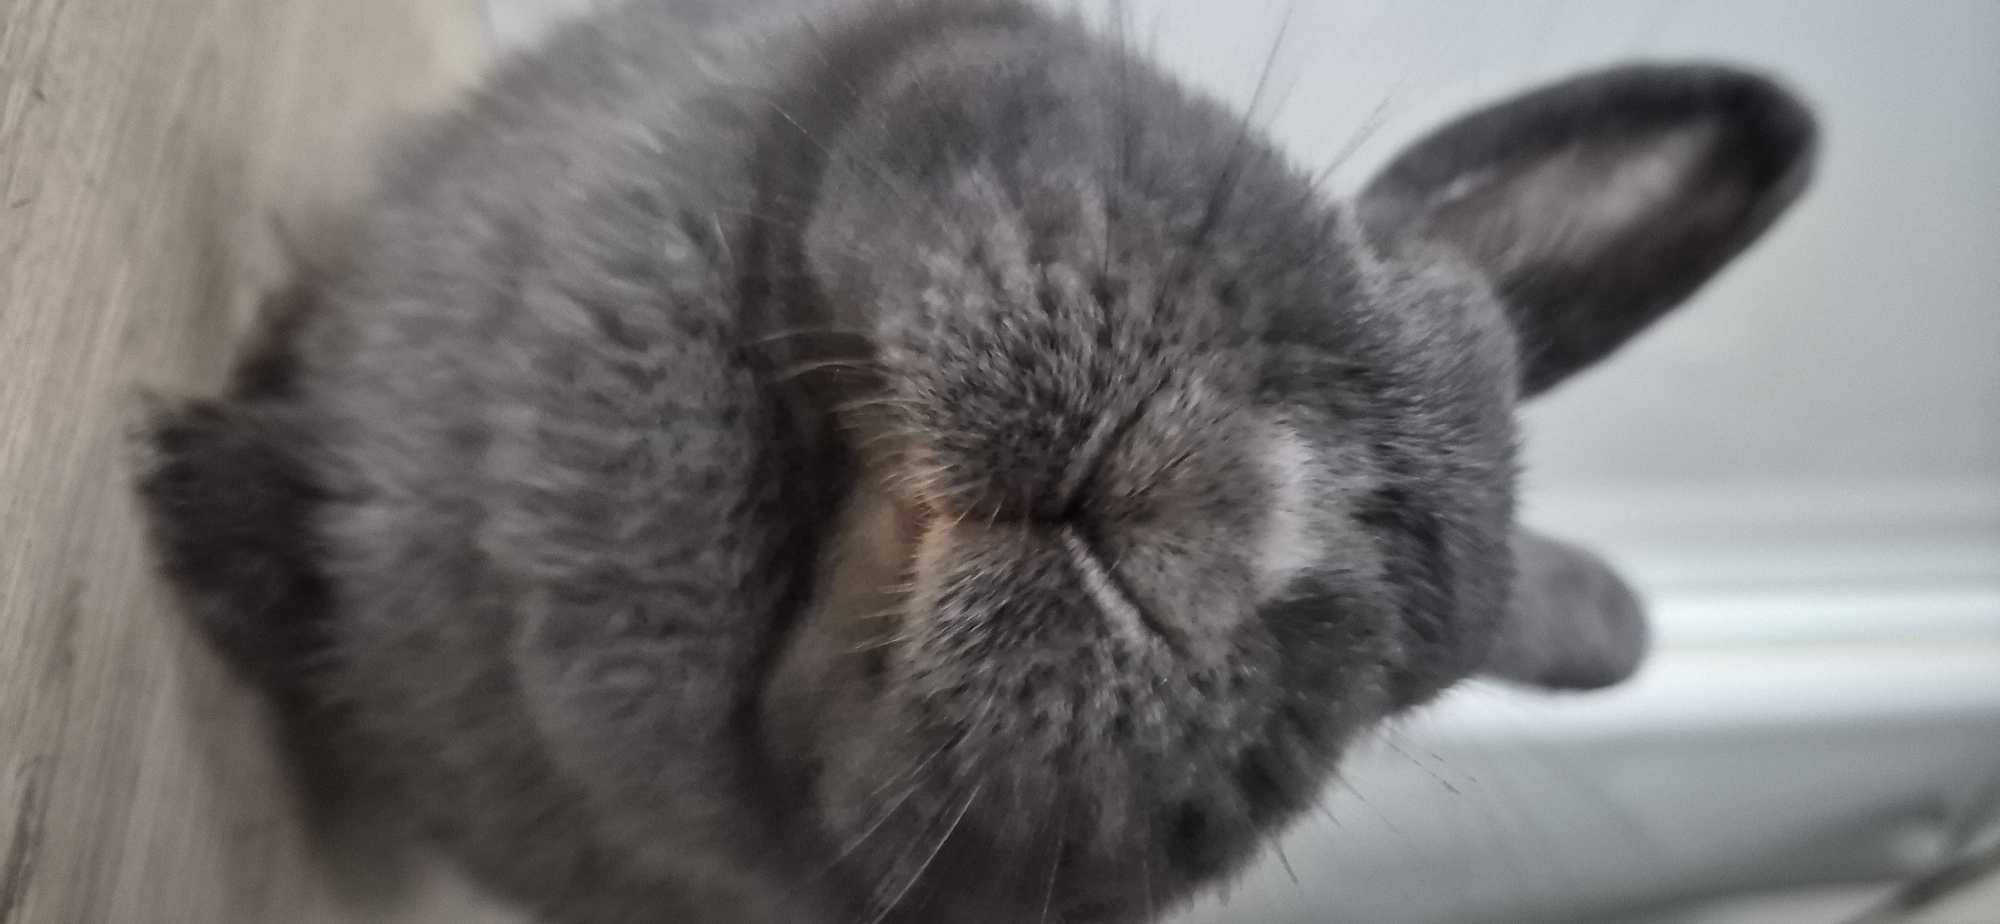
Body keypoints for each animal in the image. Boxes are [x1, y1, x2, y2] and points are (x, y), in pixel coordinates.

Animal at [133, 0, 1816, 921]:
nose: (1229, 513)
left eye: (1383, 688)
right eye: (1348, 259)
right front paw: (205, 481)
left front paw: (183, 502)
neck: (801, 530)